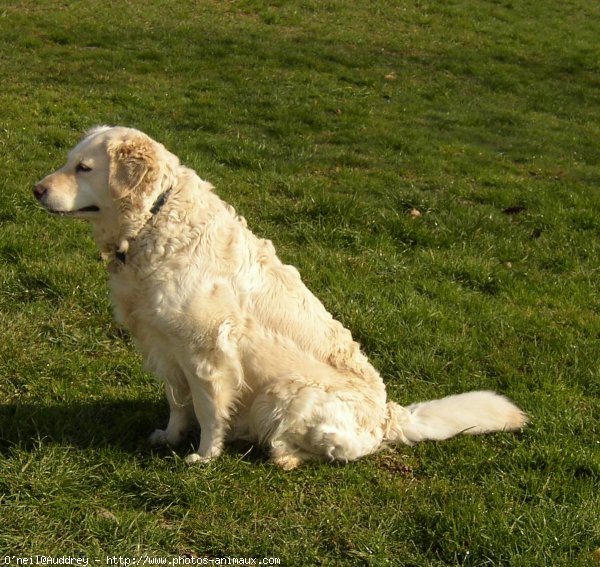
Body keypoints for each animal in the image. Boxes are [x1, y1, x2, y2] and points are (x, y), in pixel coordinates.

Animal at [35, 127, 528, 470]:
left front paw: (204, 457)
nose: (36, 189)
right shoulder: (164, 346)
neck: (152, 221)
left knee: (324, 451)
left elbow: (208, 410)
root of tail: (389, 415)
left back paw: (284, 456)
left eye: (84, 168)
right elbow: (178, 402)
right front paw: (172, 438)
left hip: (285, 393)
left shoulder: (206, 353)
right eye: (68, 161)